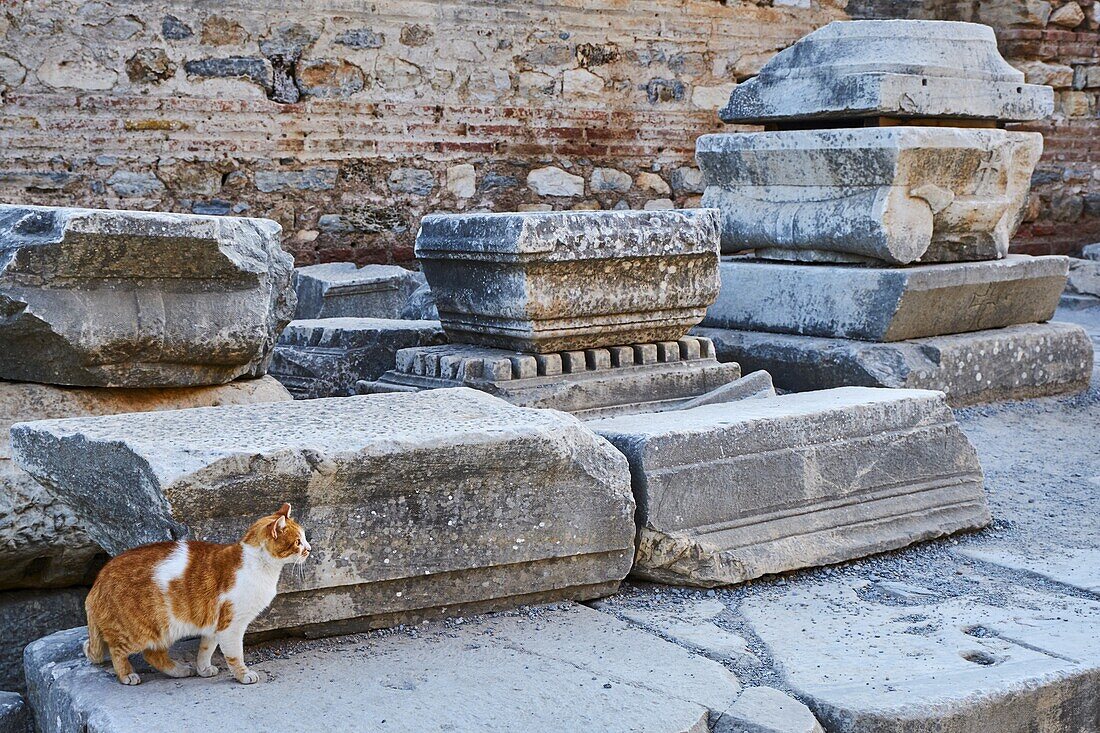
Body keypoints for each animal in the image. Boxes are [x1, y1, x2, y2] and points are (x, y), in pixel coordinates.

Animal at [82, 499, 310, 682]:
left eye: (305, 538)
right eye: (298, 542)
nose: (309, 549)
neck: (259, 565)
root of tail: (99, 579)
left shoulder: (214, 626)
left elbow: (205, 650)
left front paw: (203, 669)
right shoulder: (231, 626)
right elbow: (235, 655)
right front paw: (243, 675)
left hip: (161, 632)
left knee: (153, 655)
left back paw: (181, 670)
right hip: (139, 632)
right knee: (117, 651)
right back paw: (127, 675)